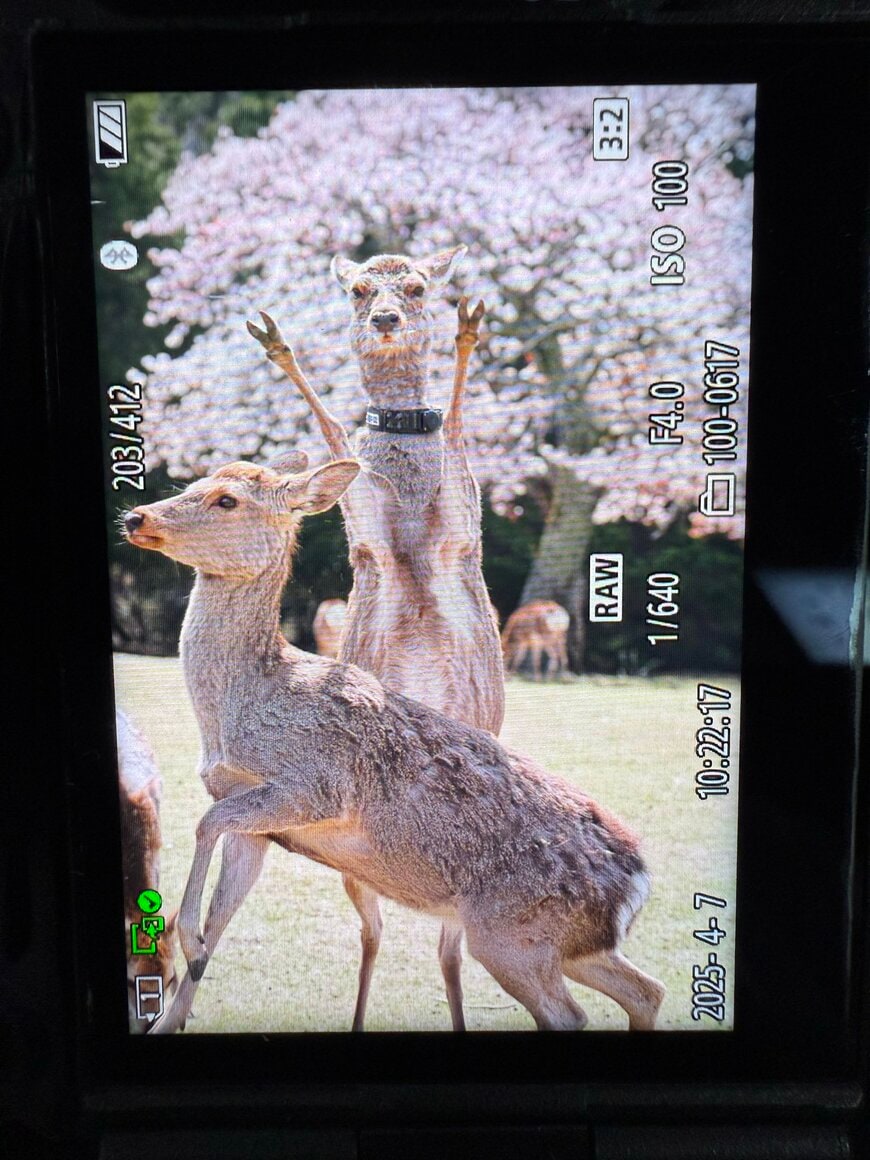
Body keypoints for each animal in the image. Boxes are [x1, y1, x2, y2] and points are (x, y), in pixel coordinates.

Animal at [124, 458, 665, 1035]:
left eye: (226, 500)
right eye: (193, 483)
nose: (136, 517)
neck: (233, 714)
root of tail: (638, 884)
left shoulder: (315, 787)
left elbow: (206, 826)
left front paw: (188, 944)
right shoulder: (258, 824)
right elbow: (222, 911)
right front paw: (185, 983)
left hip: (510, 934)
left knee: (571, 1014)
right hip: (572, 945)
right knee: (646, 990)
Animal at [247, 246, 504, 1030]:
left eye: (418, 286)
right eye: (360, 289)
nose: (387, 316)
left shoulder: (462, 514)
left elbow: (456, 418)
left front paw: (470, 323)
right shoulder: (362, 524)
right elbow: (334, 429)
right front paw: (272, 336)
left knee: (449, 942)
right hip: (354, 847)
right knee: (375, 926)